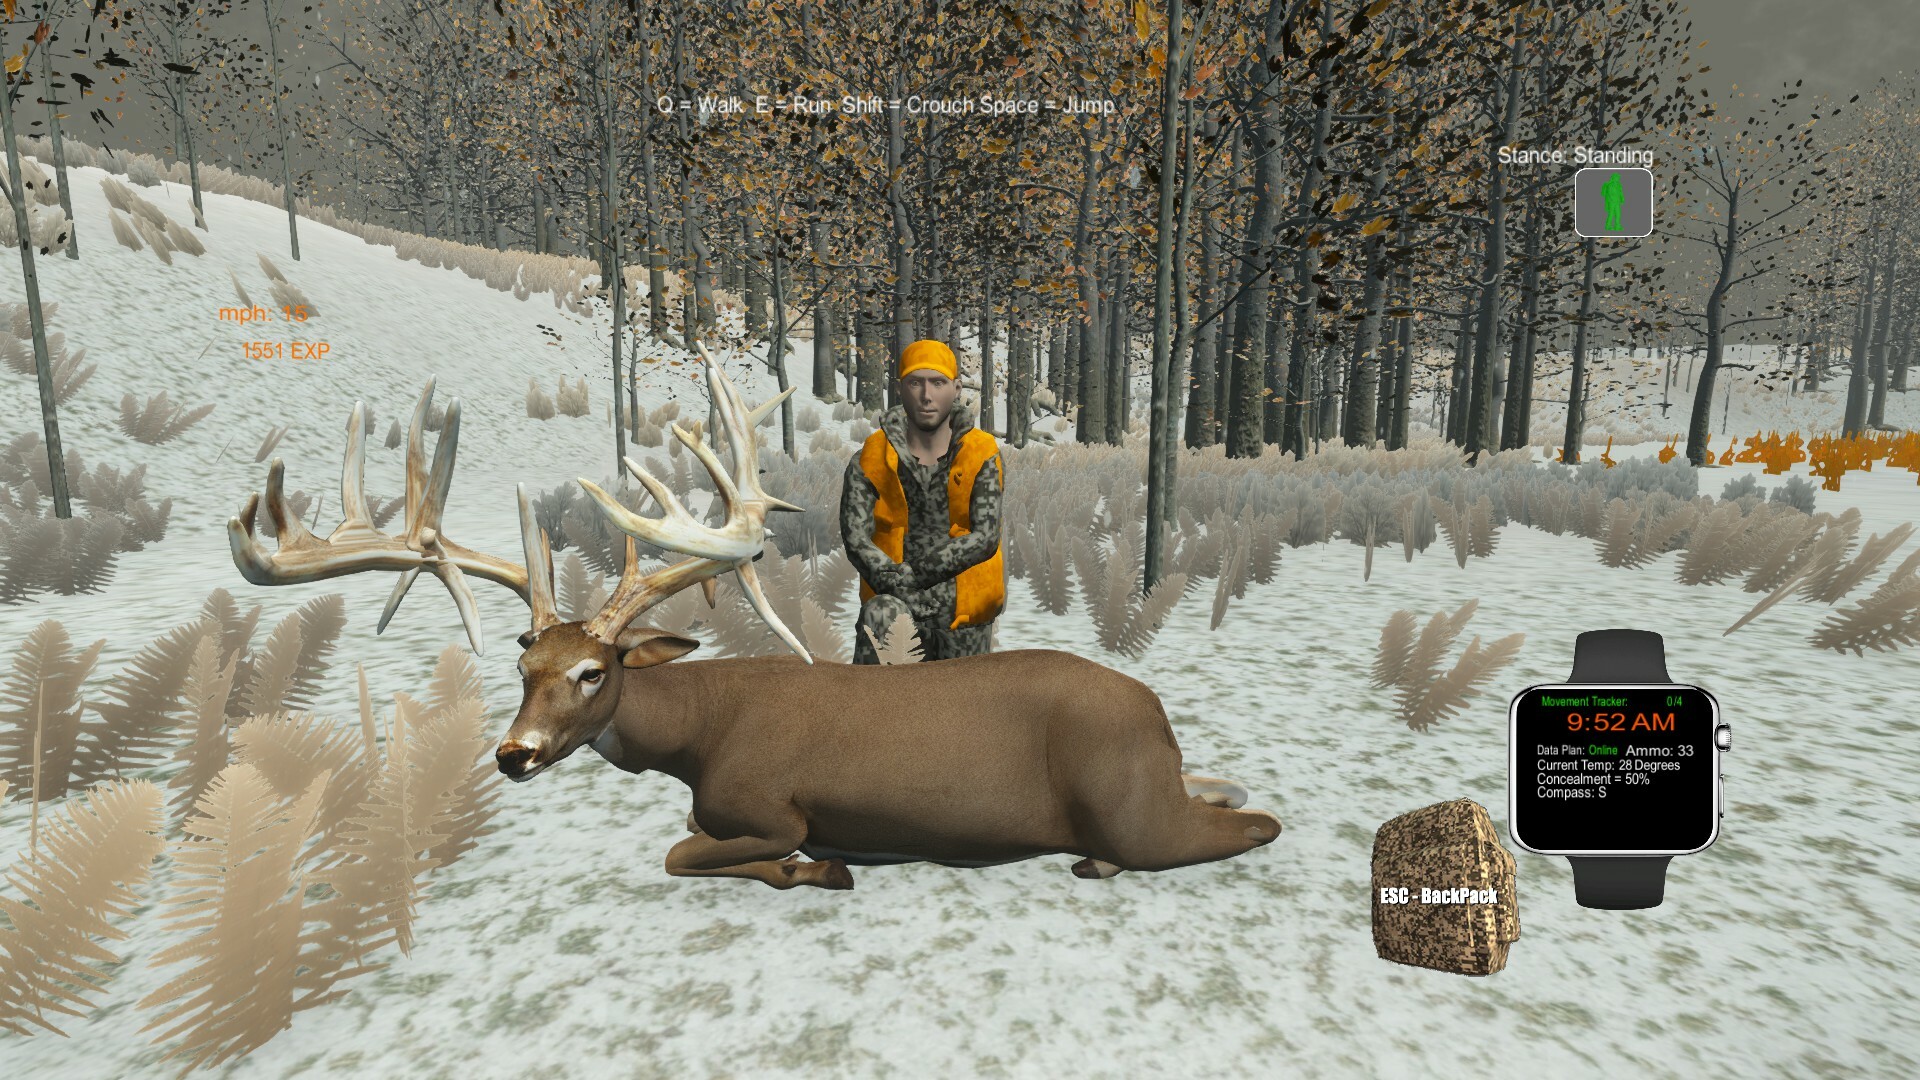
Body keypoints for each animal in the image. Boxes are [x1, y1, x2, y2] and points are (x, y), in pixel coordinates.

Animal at [227, 344, 1283, 890]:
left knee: (1255, 823)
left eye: (594, 671)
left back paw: (1099, 862)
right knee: (1234, 798)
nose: (512, 754)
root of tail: (1156, 717)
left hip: (1130, 806)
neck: (699, 738)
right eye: (522, 668)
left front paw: (821, 869)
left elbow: (691, 850)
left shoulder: (775, 805)